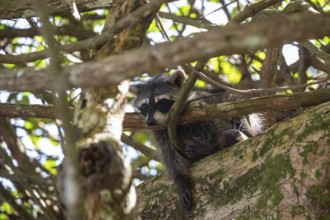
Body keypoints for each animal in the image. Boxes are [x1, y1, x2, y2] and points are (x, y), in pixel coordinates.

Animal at [131, 70, 262, 210]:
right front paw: (179, 178)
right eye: (145, 106)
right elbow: (170, 155)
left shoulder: (201, 106)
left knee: (235, 112)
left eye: (162, 102)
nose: (150, 122)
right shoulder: (160, 133)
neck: (168, 121)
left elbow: (212, 125)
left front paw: (210, 147)